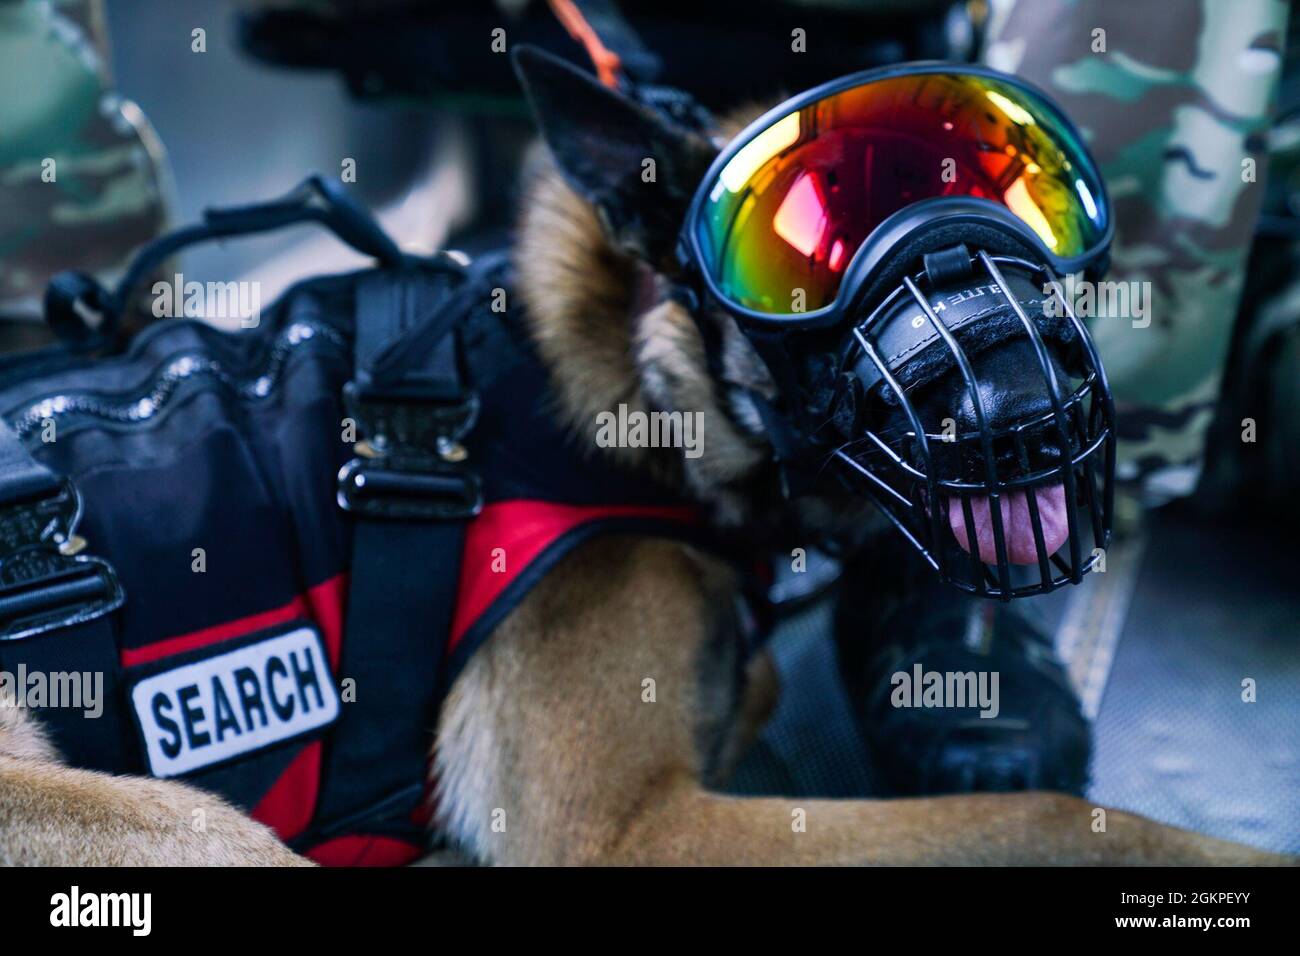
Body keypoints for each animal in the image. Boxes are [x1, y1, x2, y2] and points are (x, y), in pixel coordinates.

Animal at [0, 50, 1284, 868]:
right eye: (809, 260)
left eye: (1015, 201)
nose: (1019, 395)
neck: (636, 378)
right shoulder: (628, 830)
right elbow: (1049, 816)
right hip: (198, 828)